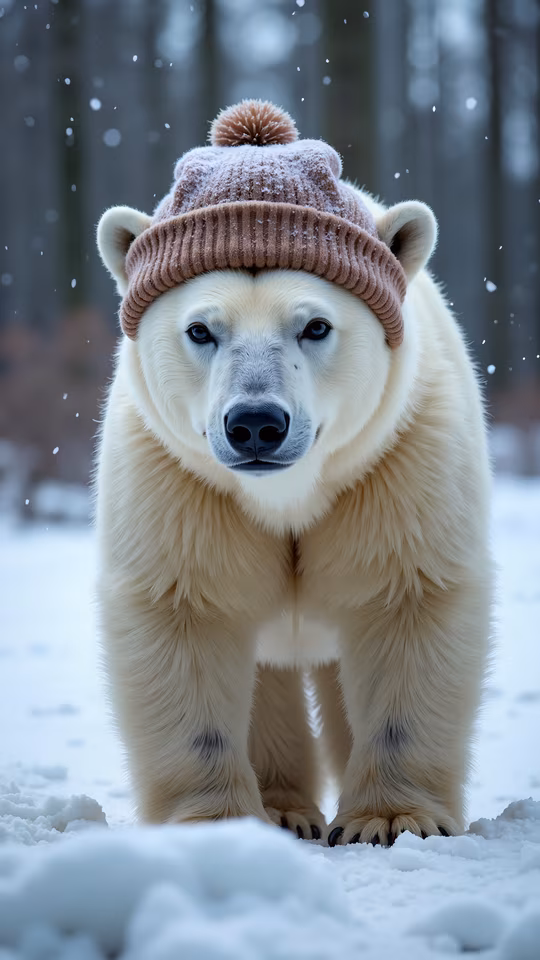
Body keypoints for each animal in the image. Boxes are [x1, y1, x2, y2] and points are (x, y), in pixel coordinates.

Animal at [95, 100, 492, 846]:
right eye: (201, 330)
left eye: (315, 325)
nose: (255, 423)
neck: (284, 496)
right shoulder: (179, 483)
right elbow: (188, 611)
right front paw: (216, 821)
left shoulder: (396, 464)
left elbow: (407, 599)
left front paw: (391, 819)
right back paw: (283, 808)